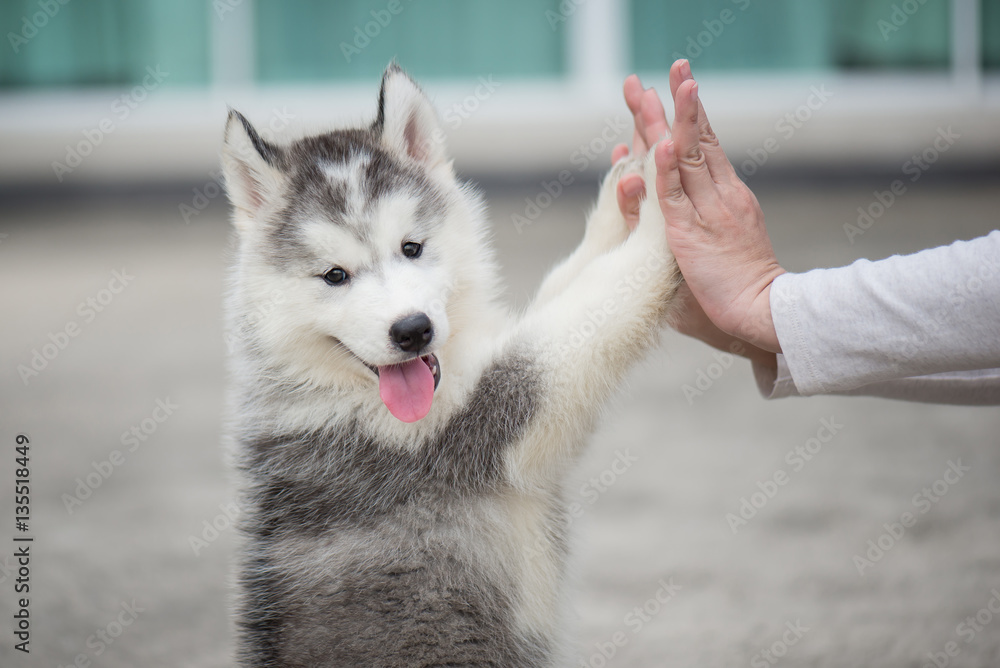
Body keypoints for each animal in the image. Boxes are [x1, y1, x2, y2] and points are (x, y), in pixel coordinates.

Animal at [223, 64, 684, 668]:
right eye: (334, 276)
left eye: (412, 248)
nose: (412, 329)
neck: (337, 387)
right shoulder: (484, 419)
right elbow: (594, 304)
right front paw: (665, 199)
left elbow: (572, 282)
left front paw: (623, 194)